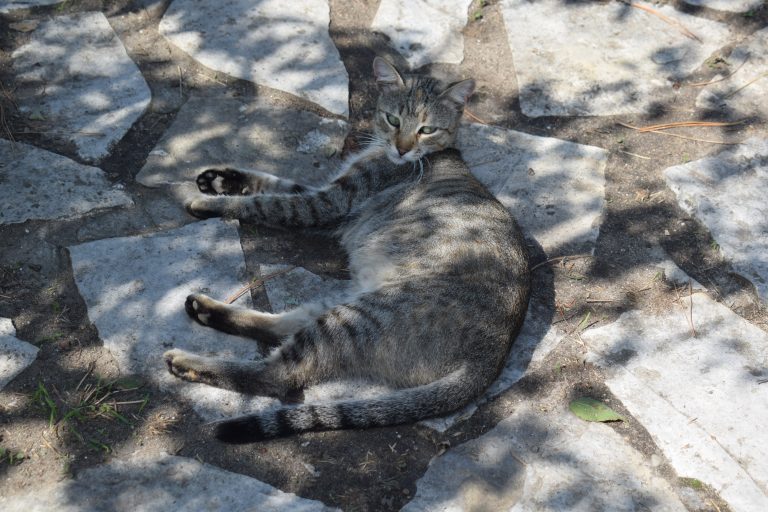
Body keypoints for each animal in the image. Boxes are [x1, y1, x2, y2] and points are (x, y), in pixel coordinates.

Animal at [165, 55, 532, 440]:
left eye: (427, 129)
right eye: (393, 119)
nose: (401, 148)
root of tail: (494, 352)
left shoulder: (326, 204)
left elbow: (265, 203)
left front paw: (210, 203)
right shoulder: (325, 197)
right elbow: (273, 183)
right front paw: (223, 180)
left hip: (357, 317)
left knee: (278, 376)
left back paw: (188, 361)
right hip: (346, 302)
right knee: (282, 326)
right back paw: (206, 310)